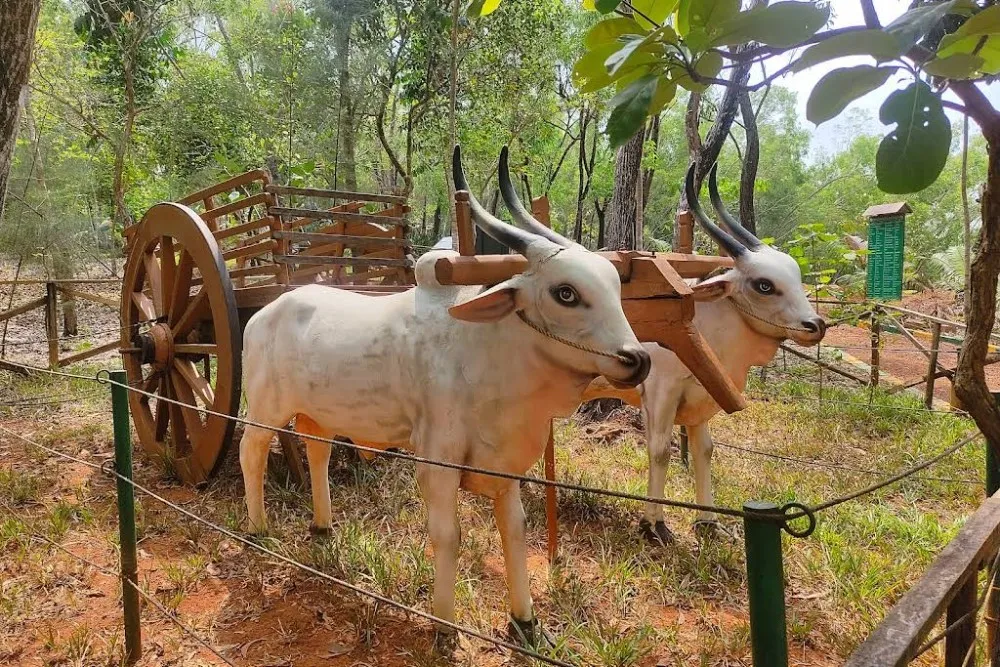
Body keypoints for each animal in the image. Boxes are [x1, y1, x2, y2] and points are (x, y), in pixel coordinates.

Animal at [237, 146, 651, 641]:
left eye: (616, 286)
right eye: (565, 293)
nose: (637, 359)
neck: (487, 354)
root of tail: (265, 311)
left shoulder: (503, 466)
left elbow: (514, 530)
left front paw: (525, 622)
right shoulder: (438, 459)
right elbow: (447, 534)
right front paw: (444, 624)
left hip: (318, 413)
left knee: (317, 450)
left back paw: (322, 526)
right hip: (265, 409)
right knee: (251, 452)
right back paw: (258, 530)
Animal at [584, 164, 826, 545]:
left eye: (797, 276)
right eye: (764, 285)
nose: (816, 325)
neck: (702, 323)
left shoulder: (702, 395)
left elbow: (705, 450)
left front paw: (708, 522)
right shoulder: (661, 392)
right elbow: (659, 451)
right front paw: (654, 524)